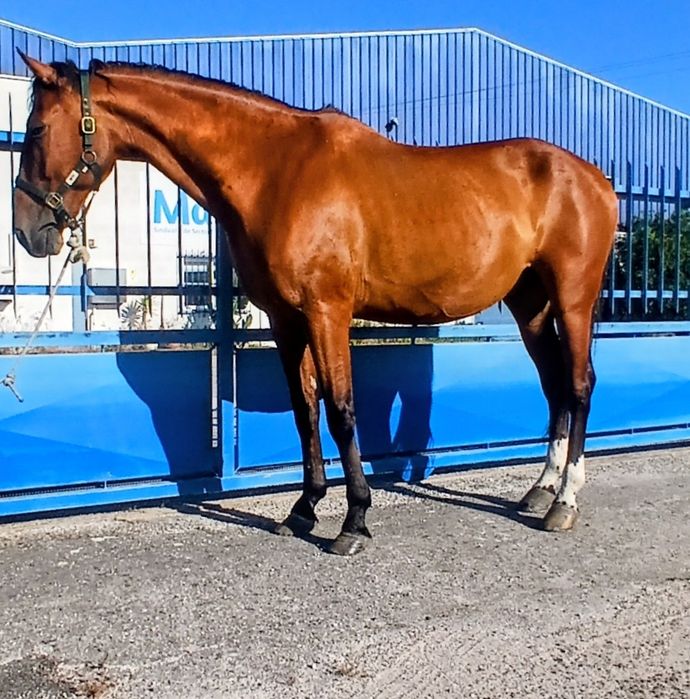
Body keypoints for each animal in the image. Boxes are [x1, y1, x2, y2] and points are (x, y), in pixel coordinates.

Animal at [12, 52, 618, 556]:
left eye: (37, 128)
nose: (26, 232)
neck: (276, 169)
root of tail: (597, 178)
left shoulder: (328, 311)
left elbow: (341, 409)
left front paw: (354, 522)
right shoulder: (287, 319)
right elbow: (305, 410)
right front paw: (303, 510)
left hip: (573, 299)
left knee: (579, 385)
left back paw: (564, 502)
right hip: (530, 304)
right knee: (554, 385)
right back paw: (539, 490)